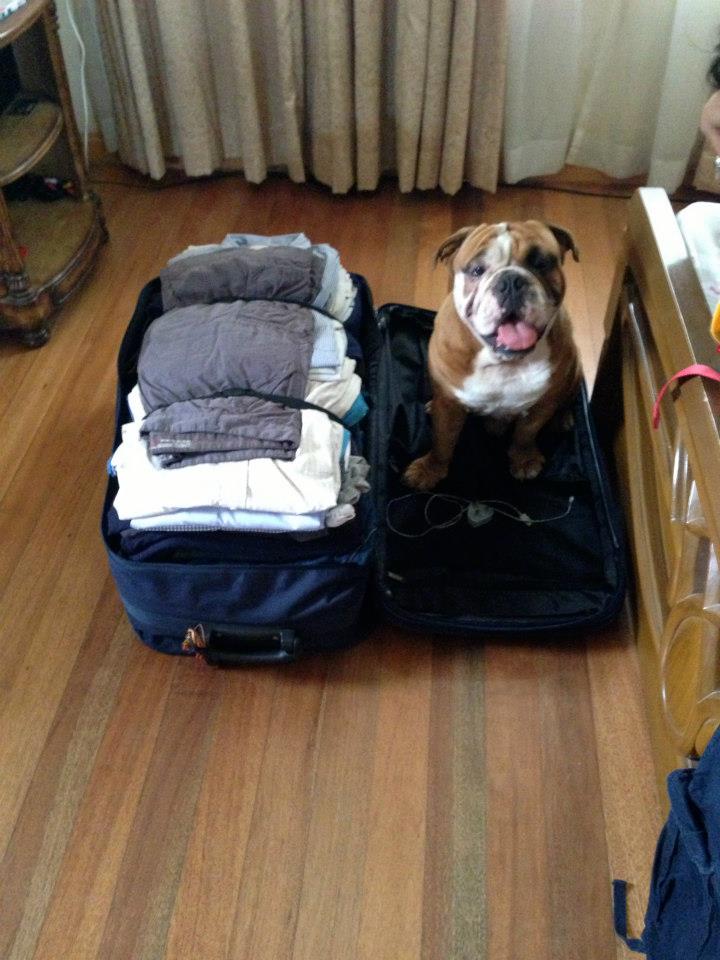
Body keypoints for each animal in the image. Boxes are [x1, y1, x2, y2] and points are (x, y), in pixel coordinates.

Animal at [403, 219, 581, 491]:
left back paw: (562, 418)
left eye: (541, 263)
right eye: (477, 270)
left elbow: (525, 434)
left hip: (574, 371)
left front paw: (524, 460)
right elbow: (442, 442)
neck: (503, 362)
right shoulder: (449, 407)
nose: (511, 281)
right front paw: (429, 470)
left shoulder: (541, 405)